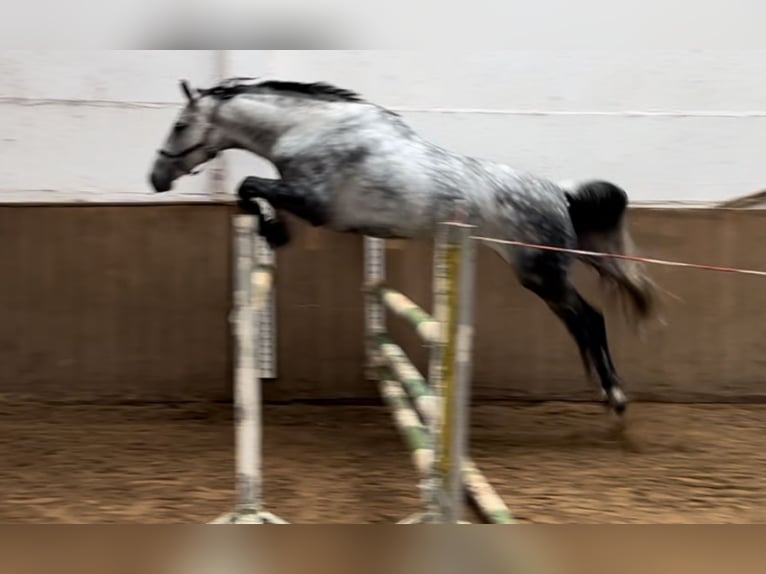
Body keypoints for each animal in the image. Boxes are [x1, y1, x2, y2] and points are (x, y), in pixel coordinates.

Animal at [149, 77, 659, 416]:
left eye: (180, 125)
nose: (155, 178)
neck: (311, 130)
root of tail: (560, 194)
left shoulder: (313, 201)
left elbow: (250, 185)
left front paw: (274, 232)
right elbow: (252, 189)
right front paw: (270, 228)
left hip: (542, 274)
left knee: (589, 319)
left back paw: (615, 397)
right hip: (540, 279)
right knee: (580, 323)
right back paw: (603, 391)